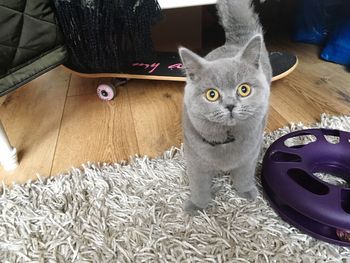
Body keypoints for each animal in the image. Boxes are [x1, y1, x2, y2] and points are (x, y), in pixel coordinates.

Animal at [179, 0, 272, 216]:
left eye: (244, 90)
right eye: (211, 94)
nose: (230, 105)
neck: (226, 138)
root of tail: (235, 43)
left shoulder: (250, 154)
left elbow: (244, 175)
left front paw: (246, 192)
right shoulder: (195, 159)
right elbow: (199, 185)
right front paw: (197, 206)